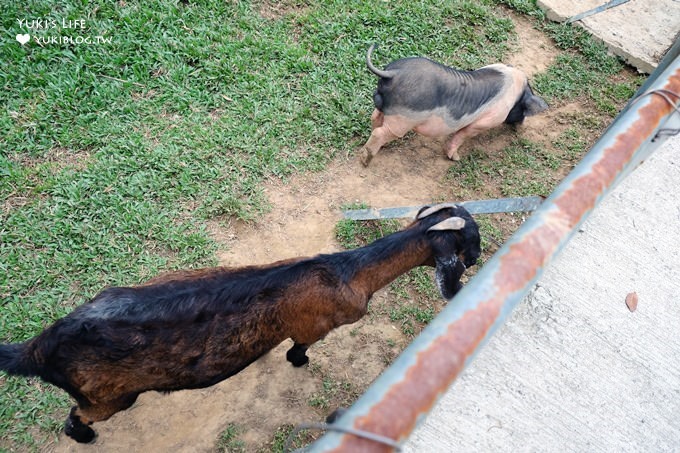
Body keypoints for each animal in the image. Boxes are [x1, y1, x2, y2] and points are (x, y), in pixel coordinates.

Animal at [358, 44, 548, 166]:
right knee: (381, 132)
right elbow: (462, 135)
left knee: (375, 118)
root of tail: (393, 73)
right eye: (523, 111)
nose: (520, 127)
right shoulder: (486, 121)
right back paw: (366, 161)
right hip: (404, 118)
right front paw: (456, 159)